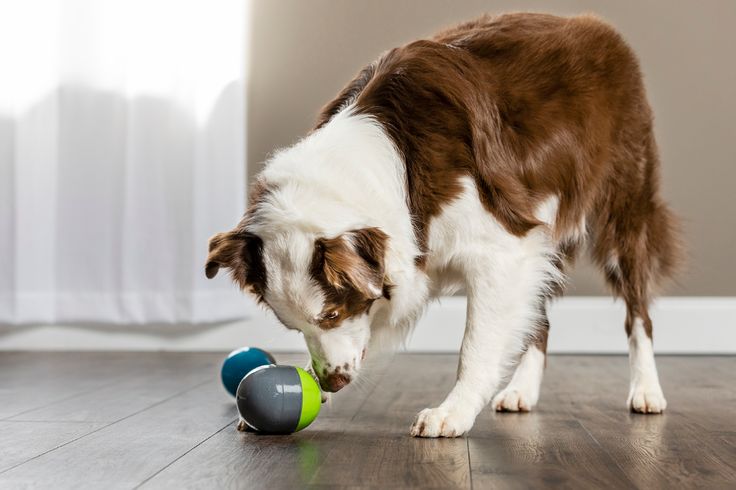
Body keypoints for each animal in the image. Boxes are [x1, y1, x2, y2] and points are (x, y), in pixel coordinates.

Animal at [204, 13, 680, 438]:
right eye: (293, 326)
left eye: (333, 313)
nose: (332, 382)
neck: (385, 166)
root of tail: (598, 27)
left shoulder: (503, 249)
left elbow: (474, 345)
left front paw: (452, 414)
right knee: (538, 318)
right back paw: (523, 390)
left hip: (623, 211)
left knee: (638, 314)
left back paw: (647, 391)